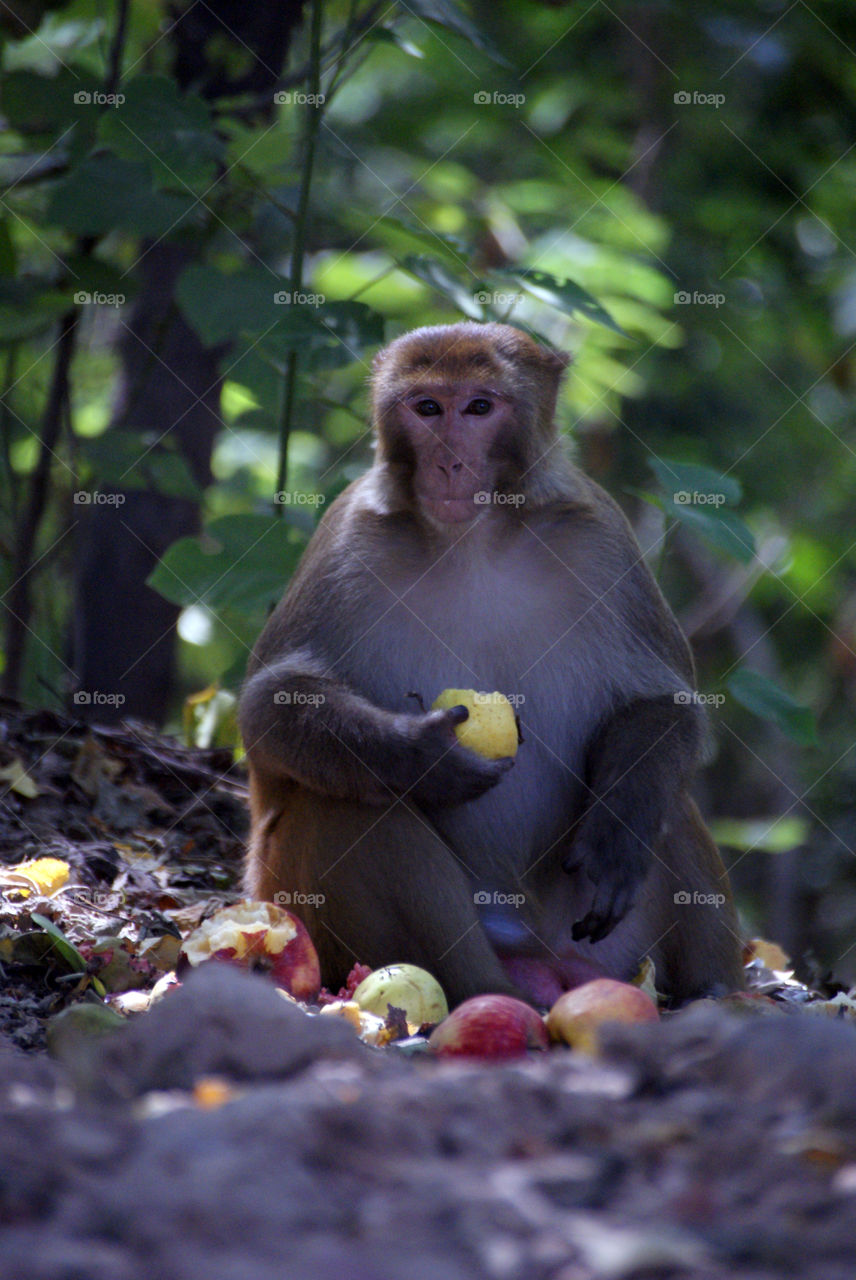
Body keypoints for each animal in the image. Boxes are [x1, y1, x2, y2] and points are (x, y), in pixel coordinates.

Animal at [239, 321, 744, 1009]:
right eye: (427, 407)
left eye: (479, 407)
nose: (450, 462)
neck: (472, 539)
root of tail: (539, 958)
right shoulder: (345, 537)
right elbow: (272, 702)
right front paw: (418, 756)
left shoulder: (603, 536)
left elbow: (661, 703)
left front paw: (618, 829)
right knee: (343, 804)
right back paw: (486, 990)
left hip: (604, 948)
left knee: (670, 801)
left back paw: (714, 992)